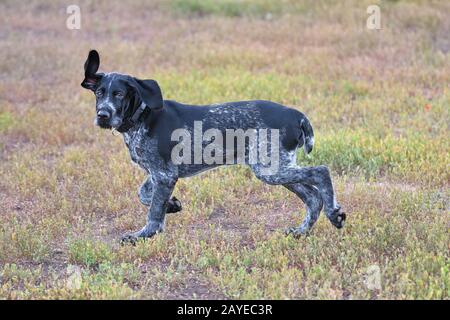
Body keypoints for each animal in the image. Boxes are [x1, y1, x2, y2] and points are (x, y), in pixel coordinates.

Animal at [81, 50, 346, 245]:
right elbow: (145, 194)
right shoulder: (159, 174)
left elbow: (154, 213)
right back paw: (302, 231)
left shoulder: (164, 175)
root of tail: (296, 114)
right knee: (313, 198)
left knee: (321, 172)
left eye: (118, 94)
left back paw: (334, 214)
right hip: (276, 166)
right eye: (99, 93)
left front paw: (144, 235)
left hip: (270, 168)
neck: (142, 117)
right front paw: (172, 205)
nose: (102, 115)